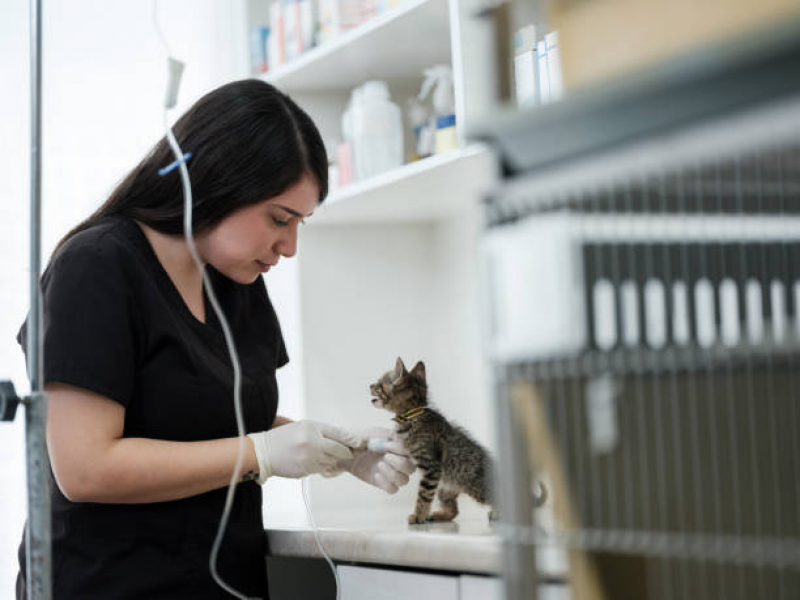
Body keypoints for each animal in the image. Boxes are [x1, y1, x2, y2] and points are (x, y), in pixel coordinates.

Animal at [370, 358, 496, 524]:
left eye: (379, 384)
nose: (370, 385)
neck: (412, 416)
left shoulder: (431, 468)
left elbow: (423, 496)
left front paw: (418, 516)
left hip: (475, 486)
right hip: (444, 489)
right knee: (454, 510)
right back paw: (439, 516)